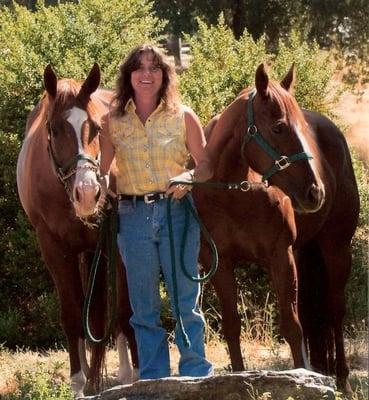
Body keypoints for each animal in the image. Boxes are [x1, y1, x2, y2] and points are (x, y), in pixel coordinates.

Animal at [15, 64, 138, 396]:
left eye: (95, 128)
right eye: (55, 129)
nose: (87, 193)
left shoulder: (116, 244)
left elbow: (123, 312)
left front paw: (134, 377)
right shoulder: (54, 249)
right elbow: (72, 315)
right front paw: (78, 384)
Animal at [194, 64, 358, 392]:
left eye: (302, 128)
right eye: (279, 127)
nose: (315, 192)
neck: (233, 192)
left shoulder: (281, 256)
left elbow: (292, 327)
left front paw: (302, 378)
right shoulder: (220, 264)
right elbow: (232, 325)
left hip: (336, 248)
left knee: (335, 310)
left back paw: (342, 380)